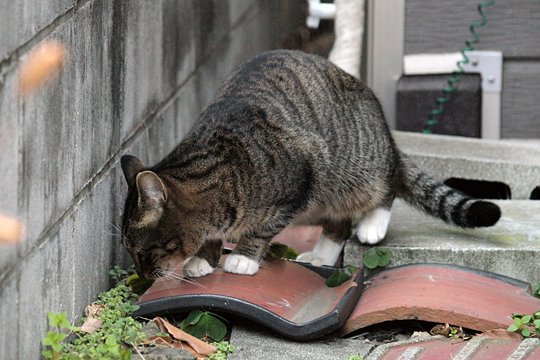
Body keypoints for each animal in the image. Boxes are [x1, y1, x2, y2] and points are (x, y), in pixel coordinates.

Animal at [120, 50, 500, 278]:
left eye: (141, 250)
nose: (139, 275)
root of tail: (388, 135)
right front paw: (205, 257)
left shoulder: (302, 172)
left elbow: (260, 229)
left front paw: (242, 257)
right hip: (319, 199)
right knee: (338, 225)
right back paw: (321, 256)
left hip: (351, 169)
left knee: (385, 184)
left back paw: (373, 223)